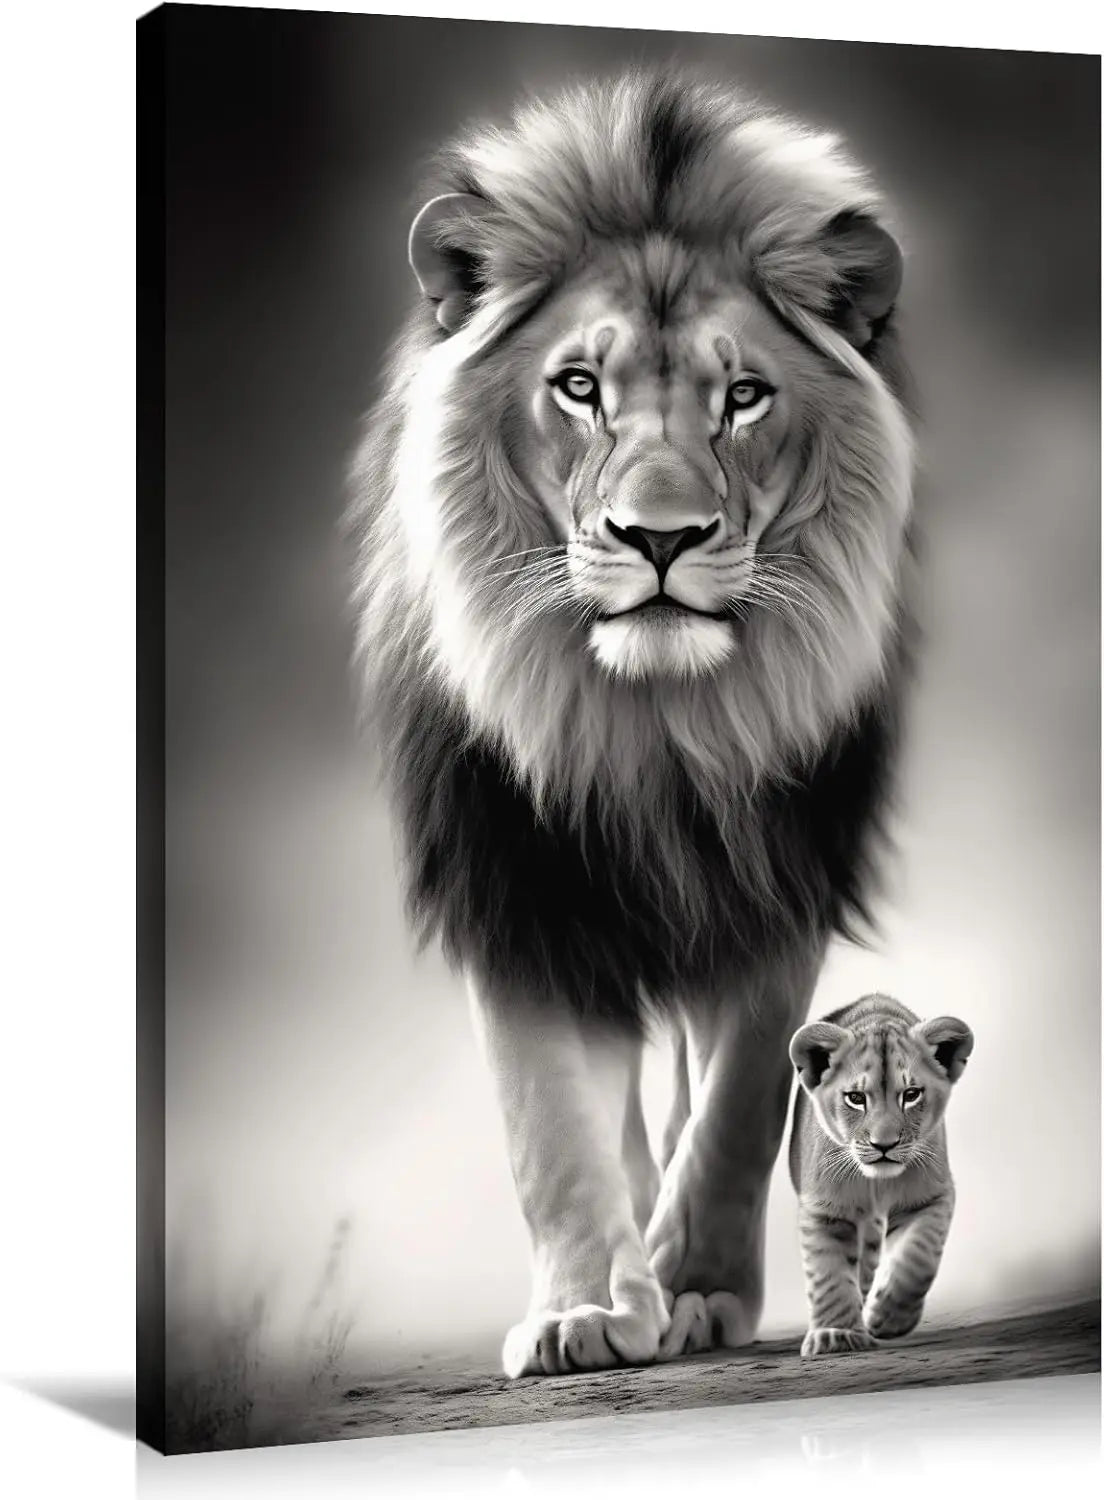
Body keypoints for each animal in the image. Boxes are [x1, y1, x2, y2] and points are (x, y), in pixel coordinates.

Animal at [347, 70, 917, 1378]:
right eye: (579, 388)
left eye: (744, 397)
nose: (661, 538)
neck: (646, 729)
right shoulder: (517, 888)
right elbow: (551, 1128)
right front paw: (585, 1311)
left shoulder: (777, 882)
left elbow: (740, 1101)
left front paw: (695, 1284)